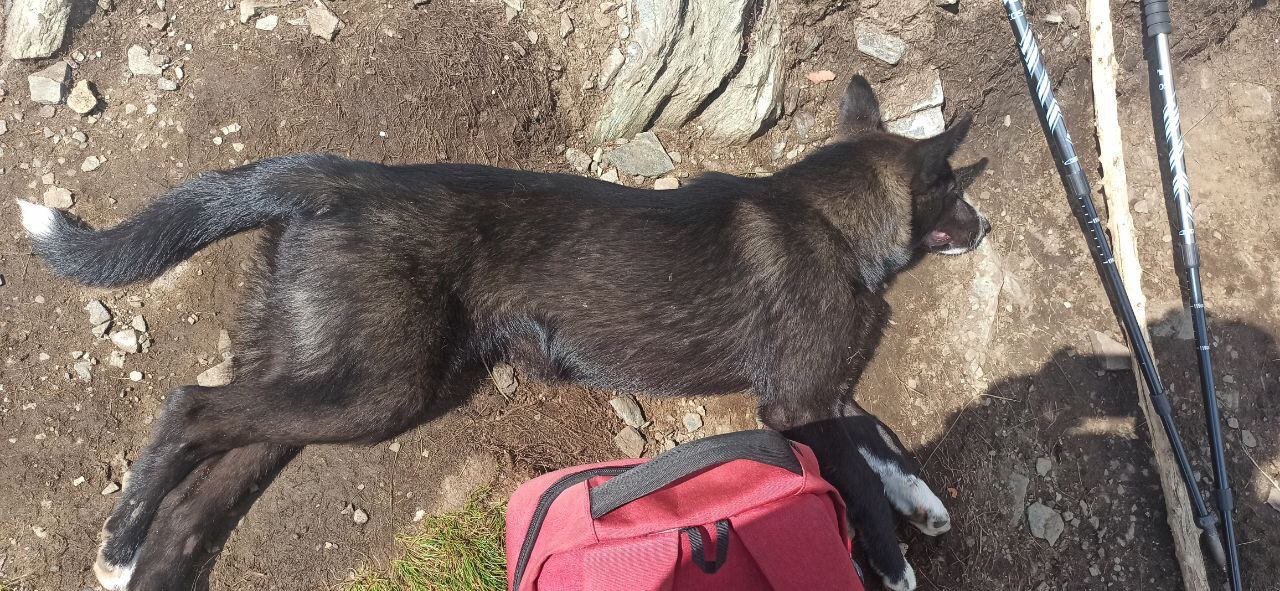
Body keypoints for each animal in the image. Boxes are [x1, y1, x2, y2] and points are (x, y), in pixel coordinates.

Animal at [15, 75, 983, 591]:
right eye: (958, 192)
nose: (982, 229)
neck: (830, 219)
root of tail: (343, 178)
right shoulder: (796, 402)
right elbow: (855, 468)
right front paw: (890, 556)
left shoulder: (821, 390)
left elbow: (878, 434)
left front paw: (920, 496)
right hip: (376, 388)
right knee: (189, 405)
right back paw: (119, 538)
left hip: (324, 379)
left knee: (197, 497)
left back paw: (146, 554)